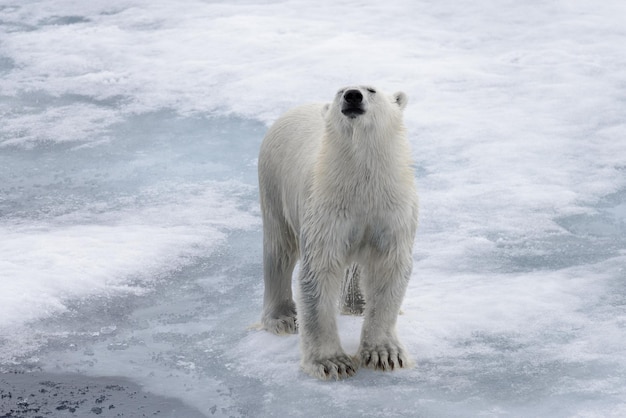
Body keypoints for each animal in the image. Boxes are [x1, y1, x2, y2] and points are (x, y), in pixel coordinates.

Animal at [256, 84, 416, 378]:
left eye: (371, 89)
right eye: (340, 90)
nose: (352, 95)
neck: (360, 181)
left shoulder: (391, 210)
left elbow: (388, 268)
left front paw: (384, 353)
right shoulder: (325, 209)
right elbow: (319, 271)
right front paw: (332, 362)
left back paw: (358, 305)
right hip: (273, 182)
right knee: (279, 250)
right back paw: (282, 318)